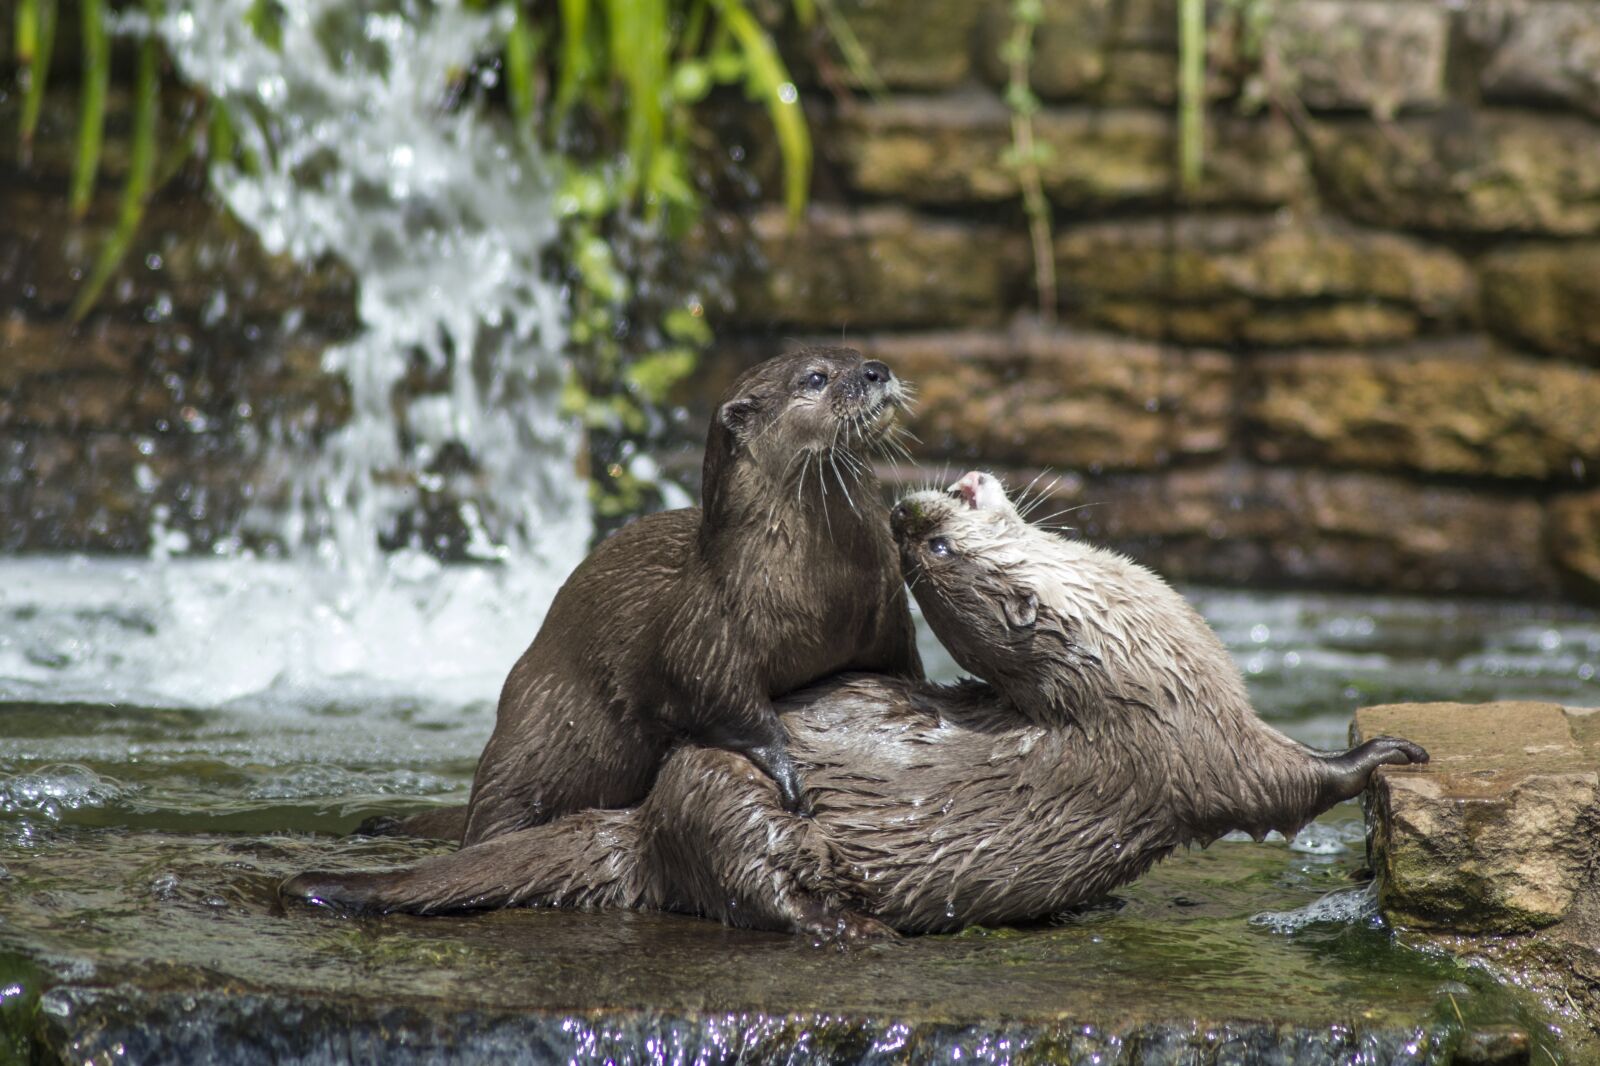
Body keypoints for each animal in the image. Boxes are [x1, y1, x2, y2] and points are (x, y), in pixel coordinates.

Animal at [284, 472, 1426, 937]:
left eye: (932, 551)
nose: (904, 513)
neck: (1135, 663)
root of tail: (644, 815)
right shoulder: (1198, 739)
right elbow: (1281, 785)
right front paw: (1383, 756)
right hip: (731, 796)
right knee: (750, 888)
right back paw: (848, 926)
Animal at [374, 347, 924, 847]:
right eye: (815, 377)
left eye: (855, 353)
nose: (877, 370)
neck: (824, 588)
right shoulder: (706, 634)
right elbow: (725, 703)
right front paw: (788, 772)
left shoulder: (892, 620)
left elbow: (908, 670)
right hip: (531, 729)